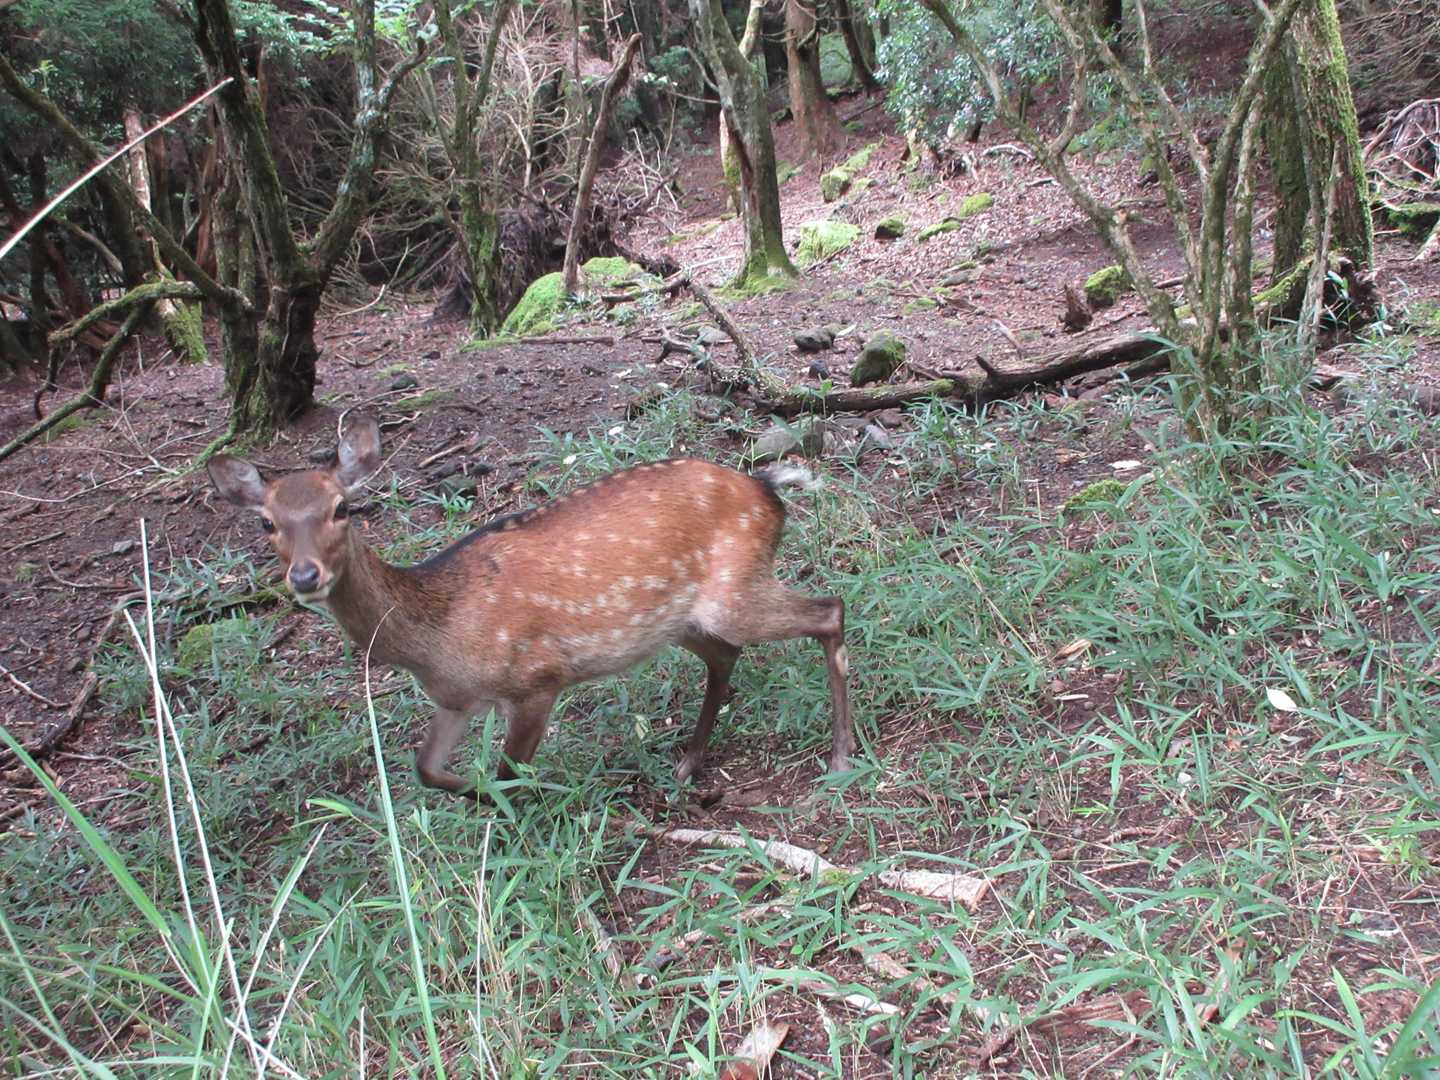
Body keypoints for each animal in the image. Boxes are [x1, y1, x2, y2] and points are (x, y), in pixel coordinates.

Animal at [205, 416, 855, 798]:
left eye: (342, 508)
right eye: (267, 522)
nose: (305, 575)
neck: (437, 638)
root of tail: (769, 491)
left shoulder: (537, 678)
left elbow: (510, 773)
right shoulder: (456, 698)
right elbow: (426, 767)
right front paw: (474, 791)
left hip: (734, 592)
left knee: (830, 608)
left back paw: (841, 757)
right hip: (680, 621)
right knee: (726, 657)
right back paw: (688, 764)